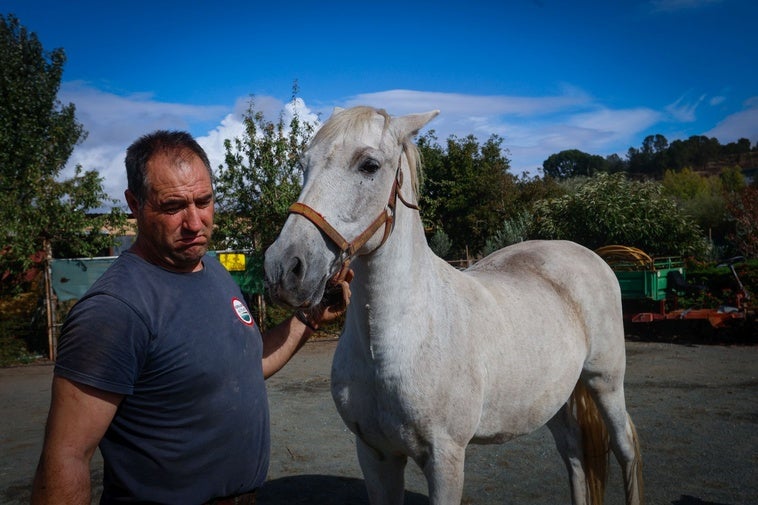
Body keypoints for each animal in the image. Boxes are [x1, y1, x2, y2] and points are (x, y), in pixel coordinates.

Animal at [264, 106, 644, 504]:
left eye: (369, 165)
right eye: (304, 164)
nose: (284, 267)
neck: (393, 342)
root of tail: (591, 256)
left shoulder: (445, 458)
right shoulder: (375, 454)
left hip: (605, 384)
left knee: (625, 448)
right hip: (552, 397)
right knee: (574, 455)